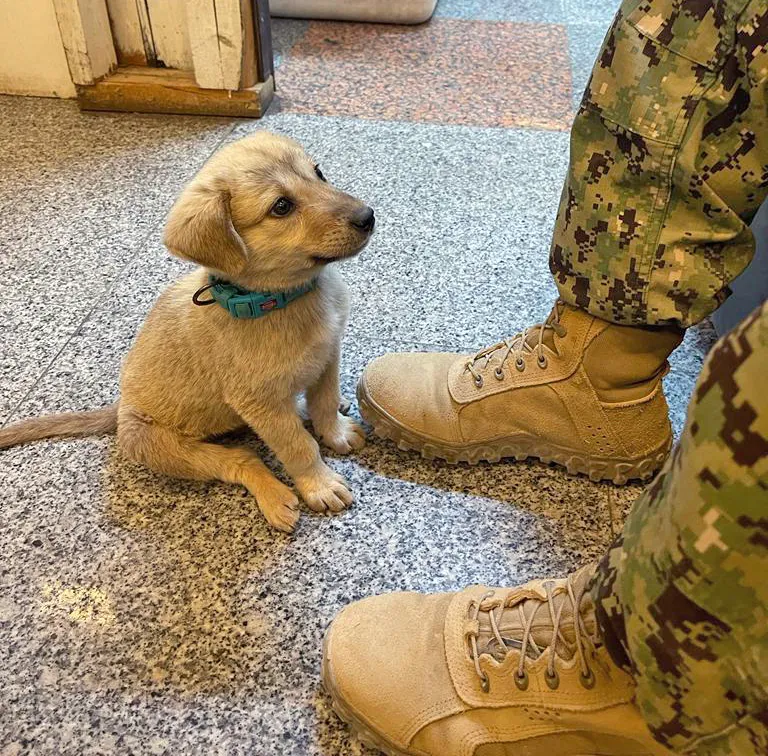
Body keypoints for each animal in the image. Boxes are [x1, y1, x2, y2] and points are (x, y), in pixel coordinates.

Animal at [0, 131, 376, 532]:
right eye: (281, 207)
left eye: (318, 173)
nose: (368, 216)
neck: (282, 300)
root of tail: (120, 408)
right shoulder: (260, 402)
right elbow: (298, 445)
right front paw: (319, 484)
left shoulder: (328, 356)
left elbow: (323, 402)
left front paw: (335, 431)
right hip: (158, 443)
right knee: (242, 459)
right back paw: (274, 497)